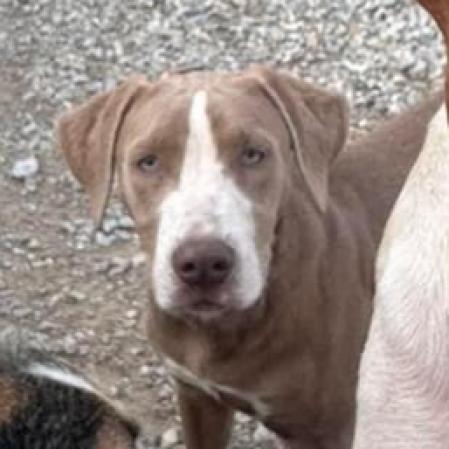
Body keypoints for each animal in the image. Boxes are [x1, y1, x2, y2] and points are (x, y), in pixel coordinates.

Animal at [57, 64, 440, 448]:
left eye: (254, 154)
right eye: (147, 162)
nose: (203, 264)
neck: (223, 330)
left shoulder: (329, 428)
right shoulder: (195, 395)